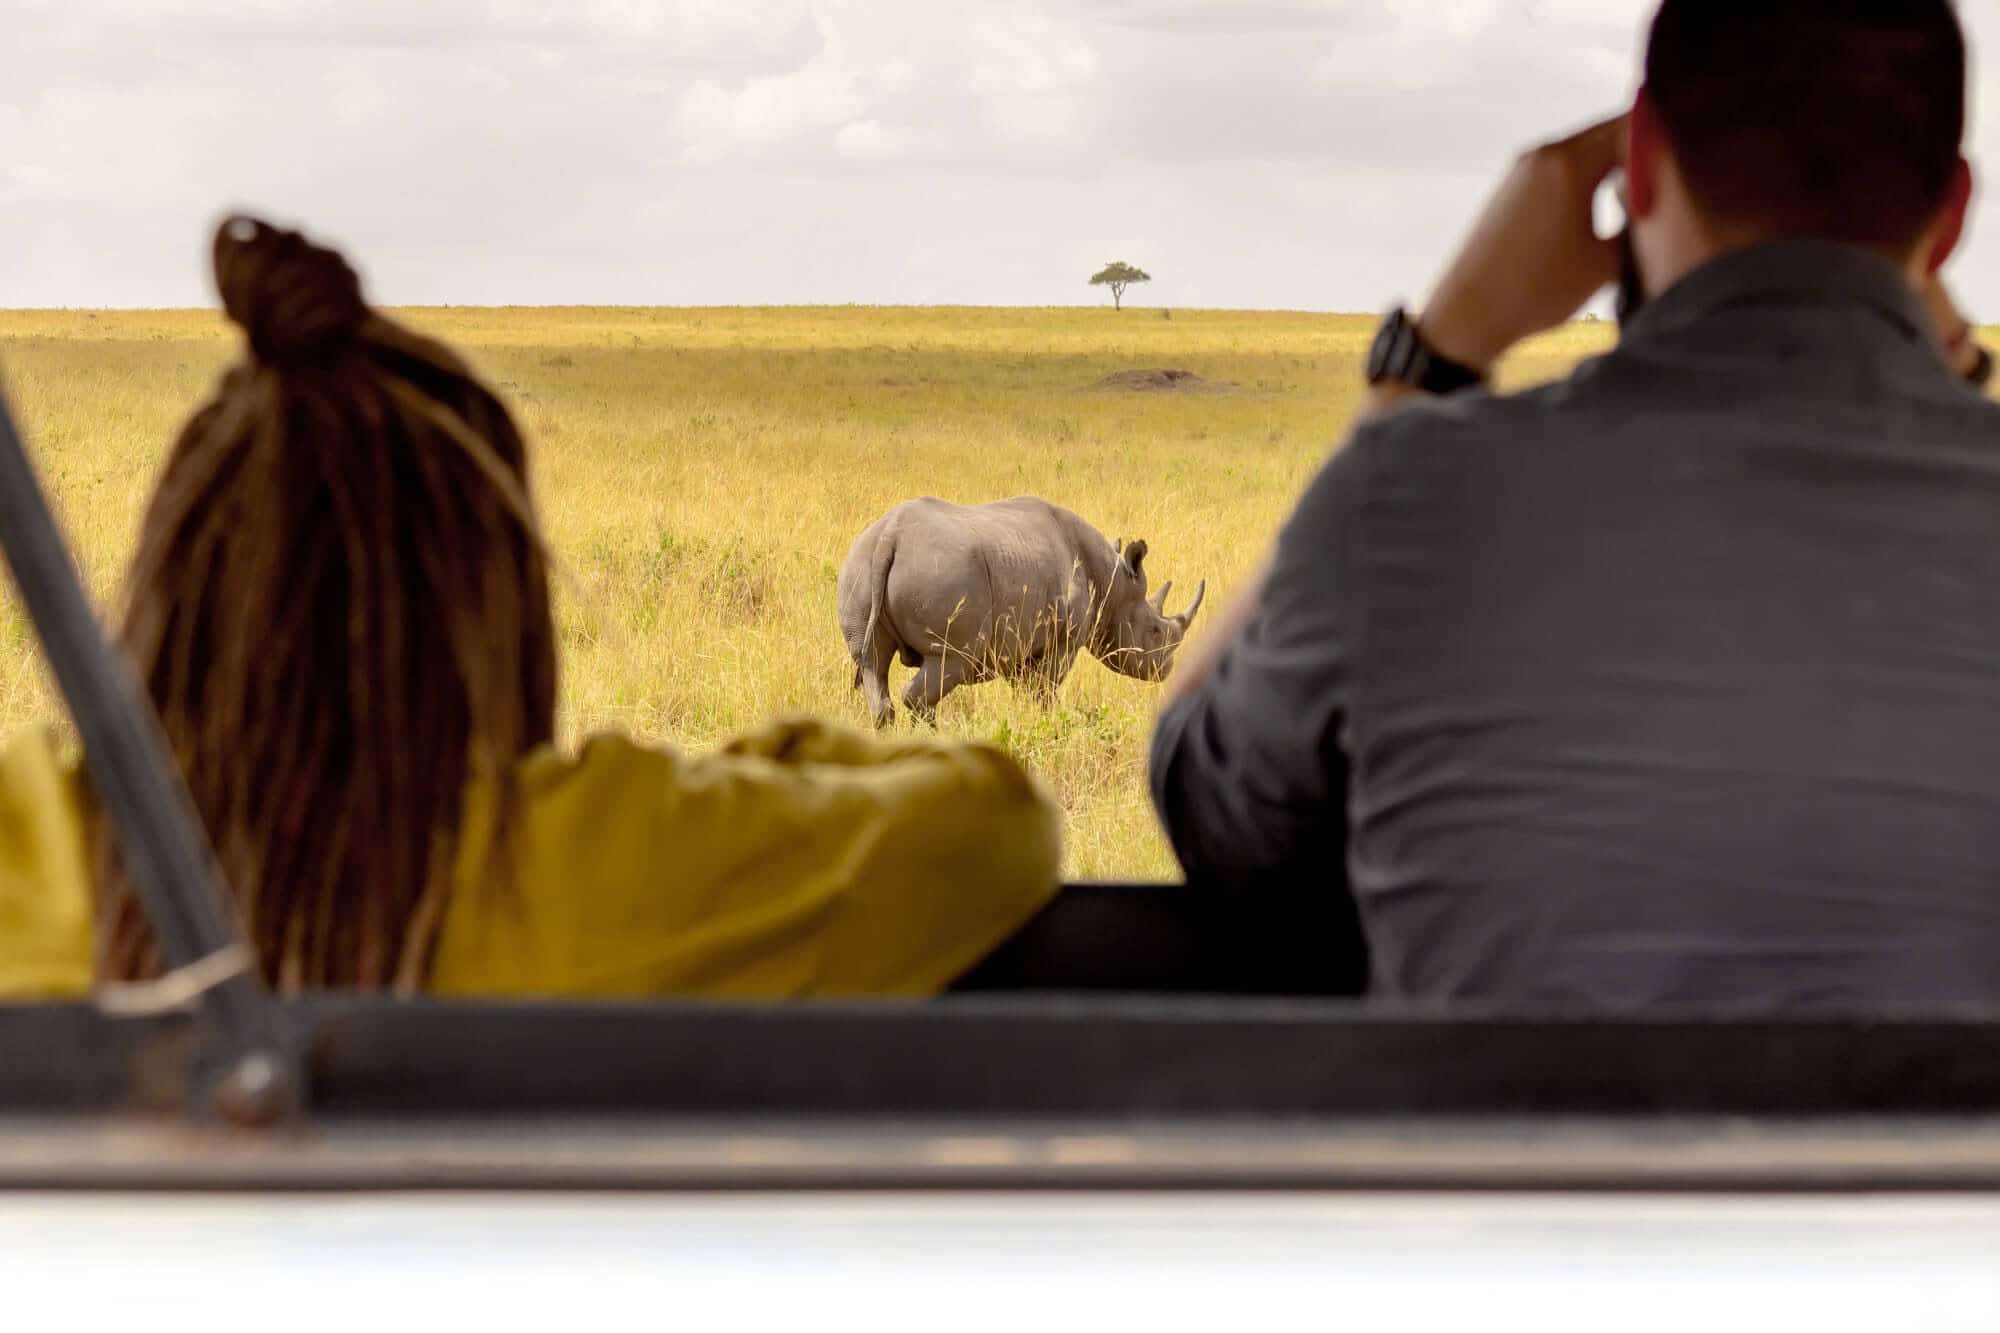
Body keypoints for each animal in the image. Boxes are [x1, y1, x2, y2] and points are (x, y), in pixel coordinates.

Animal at [838, 496, 1206, 726]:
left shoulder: (1019, 641)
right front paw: (1051, 723)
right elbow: (1046, 690)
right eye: (1155, 631)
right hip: (939, 575)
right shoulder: (1063, 641)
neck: (1112, 583)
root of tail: (889, 536)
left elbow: (1027, 688)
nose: (1166, 670)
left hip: (859, 564)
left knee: (872, 663)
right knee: (946, 664)